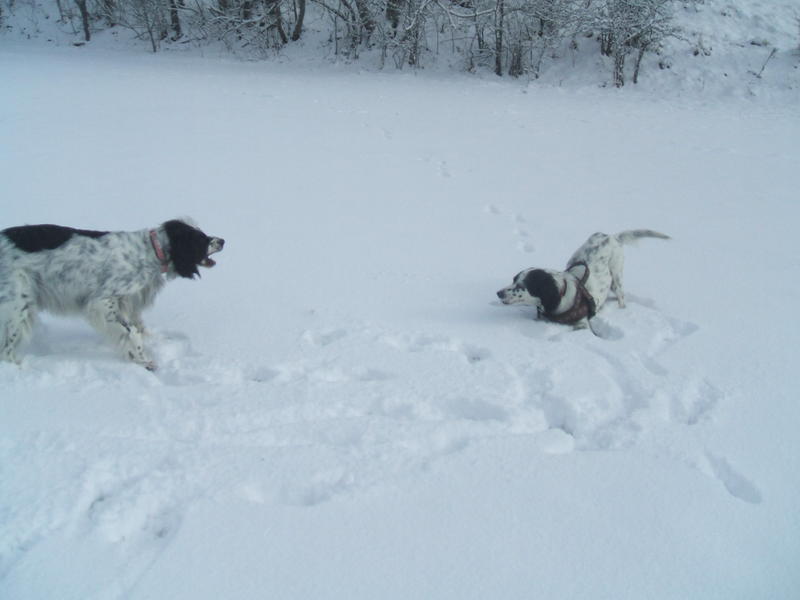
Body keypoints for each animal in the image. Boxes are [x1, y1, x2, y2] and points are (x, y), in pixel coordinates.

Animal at [1, 220, 225, 370]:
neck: (150, 251)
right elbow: (131, 331)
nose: (222, 240)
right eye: (200, 238)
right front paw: (144, 361)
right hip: (18, 305)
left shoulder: (126, 302)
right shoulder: (103, 300)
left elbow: (138, 327)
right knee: (6, 351)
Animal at [496, 232, 672, 330]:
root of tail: (611, 236)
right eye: (514, 279)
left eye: (521, 286)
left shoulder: (582, 324)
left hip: (617, 275)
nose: (498, 293)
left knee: (621, 296)